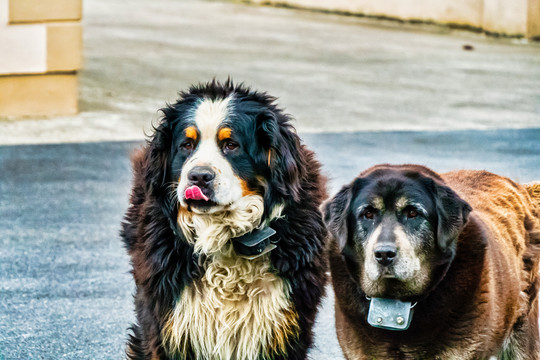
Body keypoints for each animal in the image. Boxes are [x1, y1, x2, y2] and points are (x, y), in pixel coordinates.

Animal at [120, 80, 326, 358]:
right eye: (187, 145)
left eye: (231, 145)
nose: (199, 176)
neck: (224, 236)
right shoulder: (168, 325)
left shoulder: (283, 327)